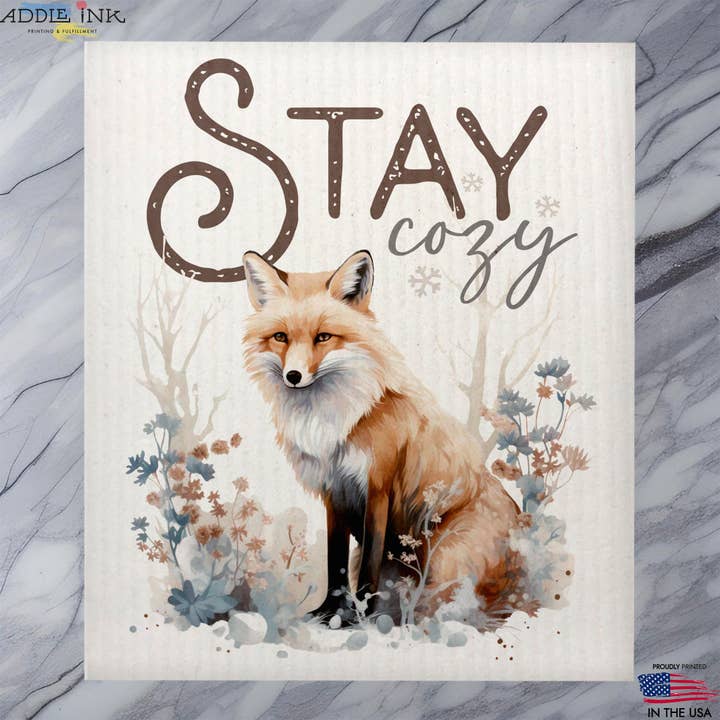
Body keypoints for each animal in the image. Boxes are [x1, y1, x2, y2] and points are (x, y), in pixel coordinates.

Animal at [242, 249, 521, 624]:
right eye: (281, 337)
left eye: (323, 337)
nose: (294, 376)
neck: (336, 421)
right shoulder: (334, 492)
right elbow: (335, 562)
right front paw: (329, 611)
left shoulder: (378, 487)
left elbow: (370, 566)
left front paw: (357, 617)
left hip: (444, 557)